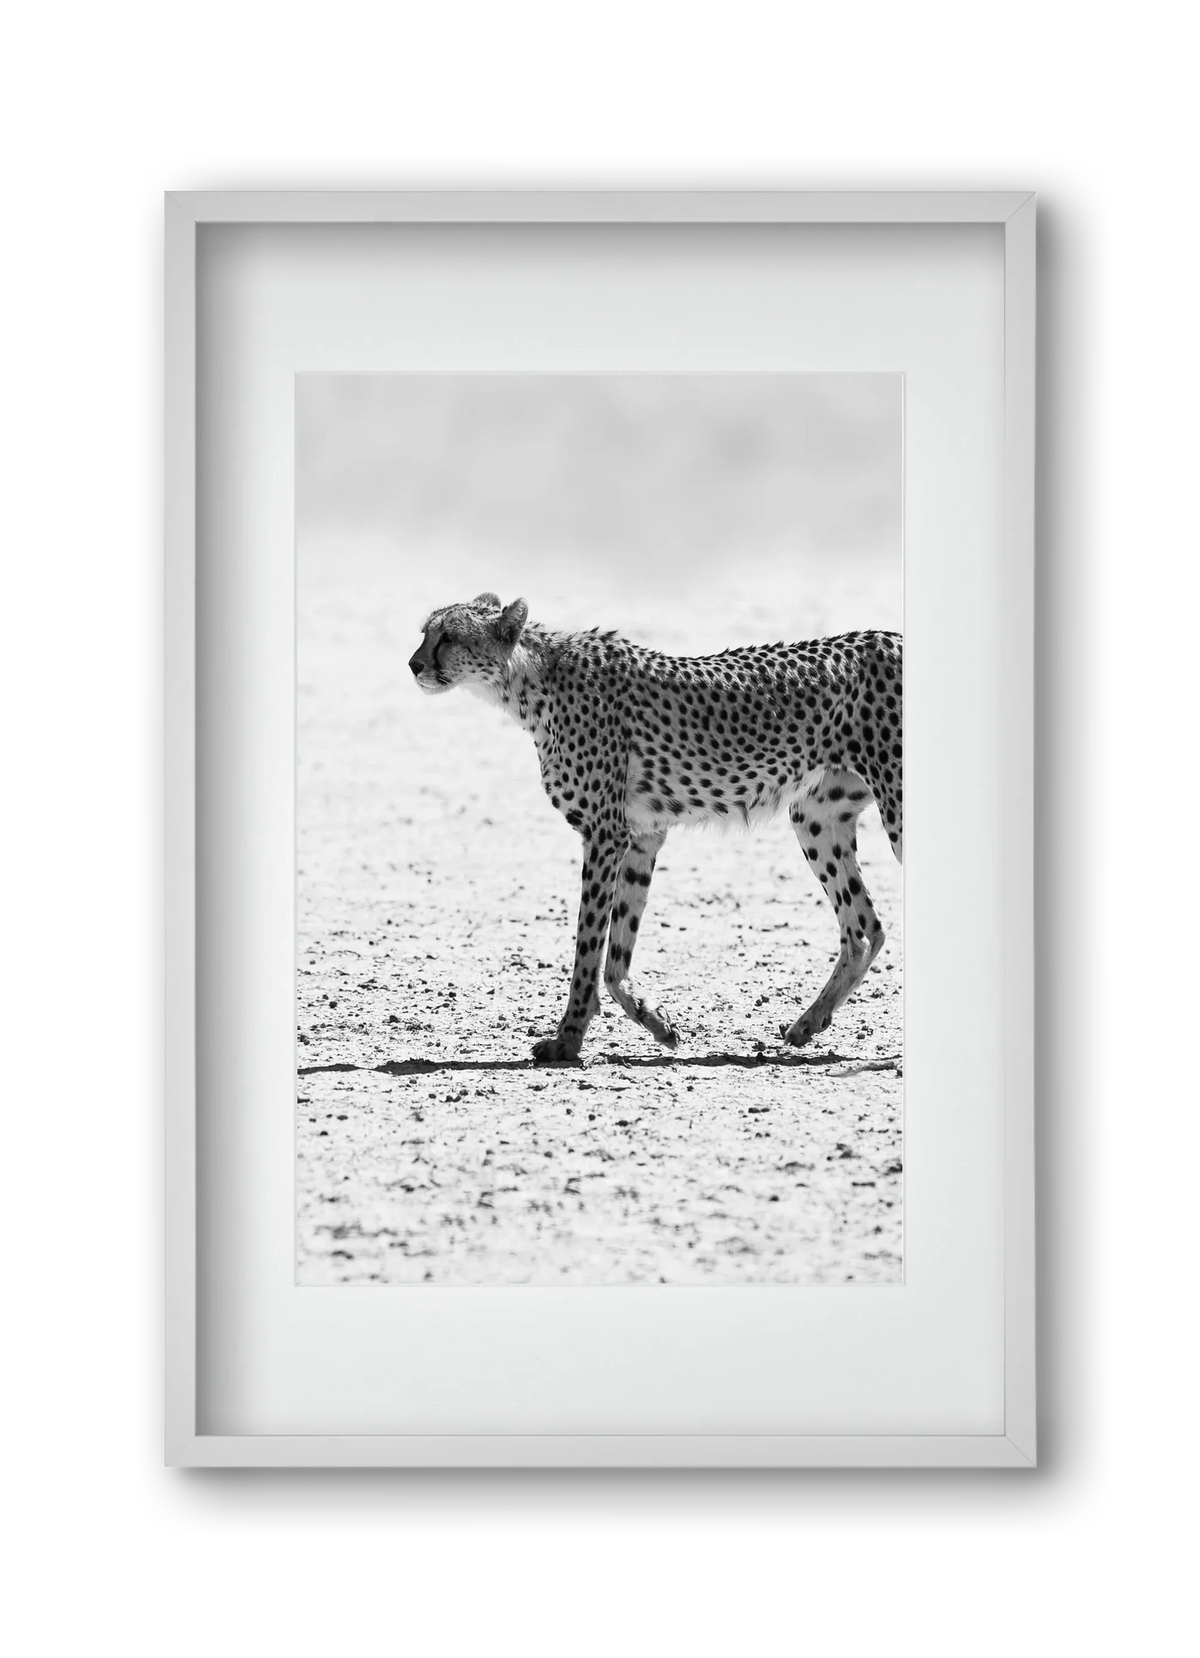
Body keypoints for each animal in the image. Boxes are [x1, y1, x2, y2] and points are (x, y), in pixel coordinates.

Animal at [409, 593, 902, 1063]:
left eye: (448, 636)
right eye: (425, 632)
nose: (413, 664)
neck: (528, 681)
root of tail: (890, 635)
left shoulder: (605, 834)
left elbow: (588, 946)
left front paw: (567, 1040)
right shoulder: (641, 836)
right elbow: (616, 954)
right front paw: (657, 1022)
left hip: (894, 807)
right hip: (816, 817)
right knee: (864, 928)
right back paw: (808, 1023)